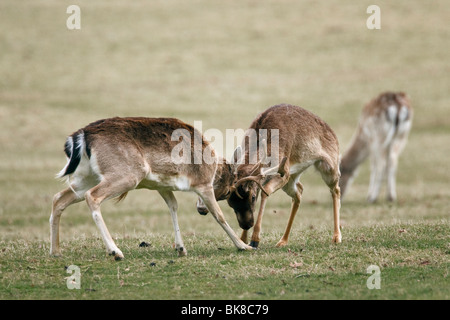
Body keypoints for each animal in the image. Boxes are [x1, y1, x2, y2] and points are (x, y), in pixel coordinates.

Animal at [50, 117, 253, 260]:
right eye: (228, 192)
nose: (200, 210)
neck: (213, 166)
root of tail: (80, 136)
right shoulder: (203, 184)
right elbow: (219, 215)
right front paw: (244, 246)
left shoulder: (162, 187)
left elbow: (173, 206)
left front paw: (181, 248)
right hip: (127, 175)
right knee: (92, 196)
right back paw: (115, 251)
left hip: (86, 178)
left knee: (58, 198)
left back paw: (56, 251)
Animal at [197, 104, 342, 249]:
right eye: (230, 202)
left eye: (252, 197)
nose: (246, 224)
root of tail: (332, 132)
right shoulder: (275, 176)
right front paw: (243, 239)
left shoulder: (284, 171)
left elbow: (265, 192)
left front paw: (255, 239)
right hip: (293, 178)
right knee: (299, 191)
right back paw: (283, 240)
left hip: (329, 165)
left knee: (336, 189)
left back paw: (336, 237)